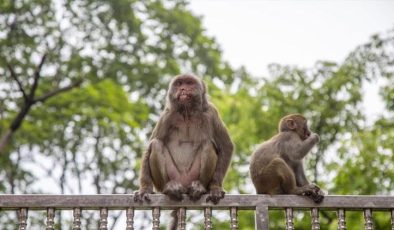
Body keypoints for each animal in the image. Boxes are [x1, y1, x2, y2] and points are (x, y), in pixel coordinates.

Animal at [135, 74, 234, 205]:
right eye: (179, 84)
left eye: (189, 83)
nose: (182, 89)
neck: (187, 113)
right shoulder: (167, 115)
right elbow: (150, 146)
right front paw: (145, 189)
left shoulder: (211, 112)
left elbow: (226, 146)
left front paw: (215, 188)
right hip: (172, 178)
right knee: (156, 144)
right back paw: (169, 187)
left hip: (192, 177)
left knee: (208, 145)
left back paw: (199, 186)